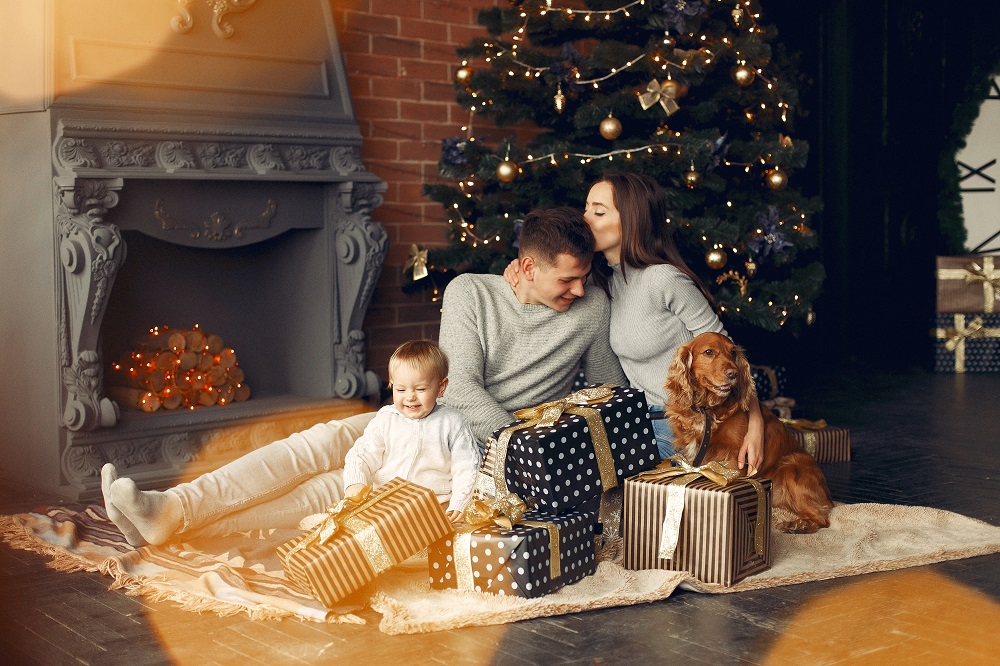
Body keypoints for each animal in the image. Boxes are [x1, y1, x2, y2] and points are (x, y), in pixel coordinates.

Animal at [668, 332, 832, 536]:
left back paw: (798, 525)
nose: (733, 373)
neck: (708, 409)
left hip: (791, 467)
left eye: (732, 352)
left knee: (823, 518)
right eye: (708, 352)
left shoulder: (733, 458)